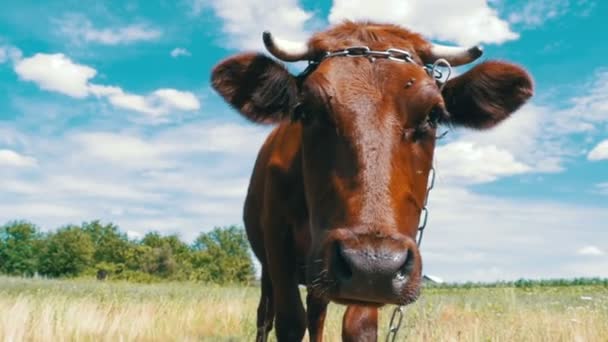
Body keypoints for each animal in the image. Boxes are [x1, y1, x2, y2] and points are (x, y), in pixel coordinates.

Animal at [213, 22, 532, 342]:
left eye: (433, 115)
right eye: (306, 109)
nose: (373, 263)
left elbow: (359, 327)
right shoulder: (278, 246)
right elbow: (289, 322)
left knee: (316, 313)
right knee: (265, 315)